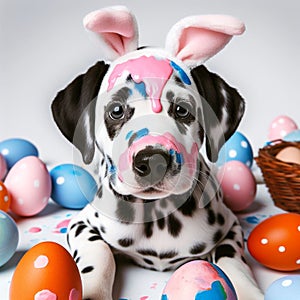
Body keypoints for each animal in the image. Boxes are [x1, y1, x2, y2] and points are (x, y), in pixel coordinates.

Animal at [52, 5, 264, 300]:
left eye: (182, 110)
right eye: (116, 110)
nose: (153, 160)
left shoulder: (230, 228)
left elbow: (231, 259)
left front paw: (247, 290)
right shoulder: (82, 224)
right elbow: (100, 252)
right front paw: (93, 289)